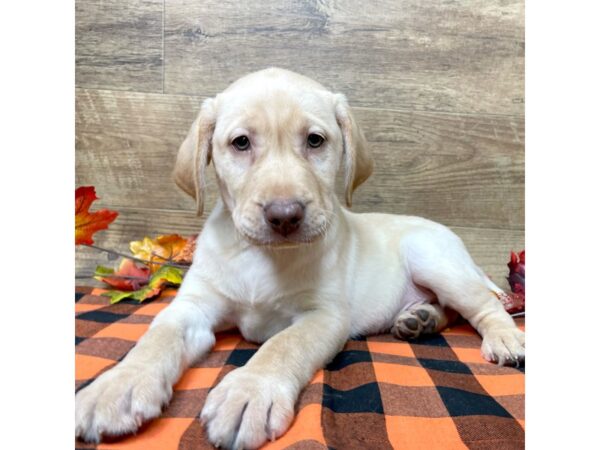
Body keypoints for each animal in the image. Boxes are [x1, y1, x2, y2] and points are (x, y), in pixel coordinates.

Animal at [75, 68, 524, 448]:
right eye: (241, 143)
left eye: (315, 141)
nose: (284, 215)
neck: (260, 256)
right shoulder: (193, 305)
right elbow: (156, 337)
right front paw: (118, 385)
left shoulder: (324, 316)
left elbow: (283, 344)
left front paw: (249, 391)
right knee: (451, 309)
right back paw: (420, 318)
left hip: (435, 258)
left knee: (484, 305)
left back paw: (505, 339)